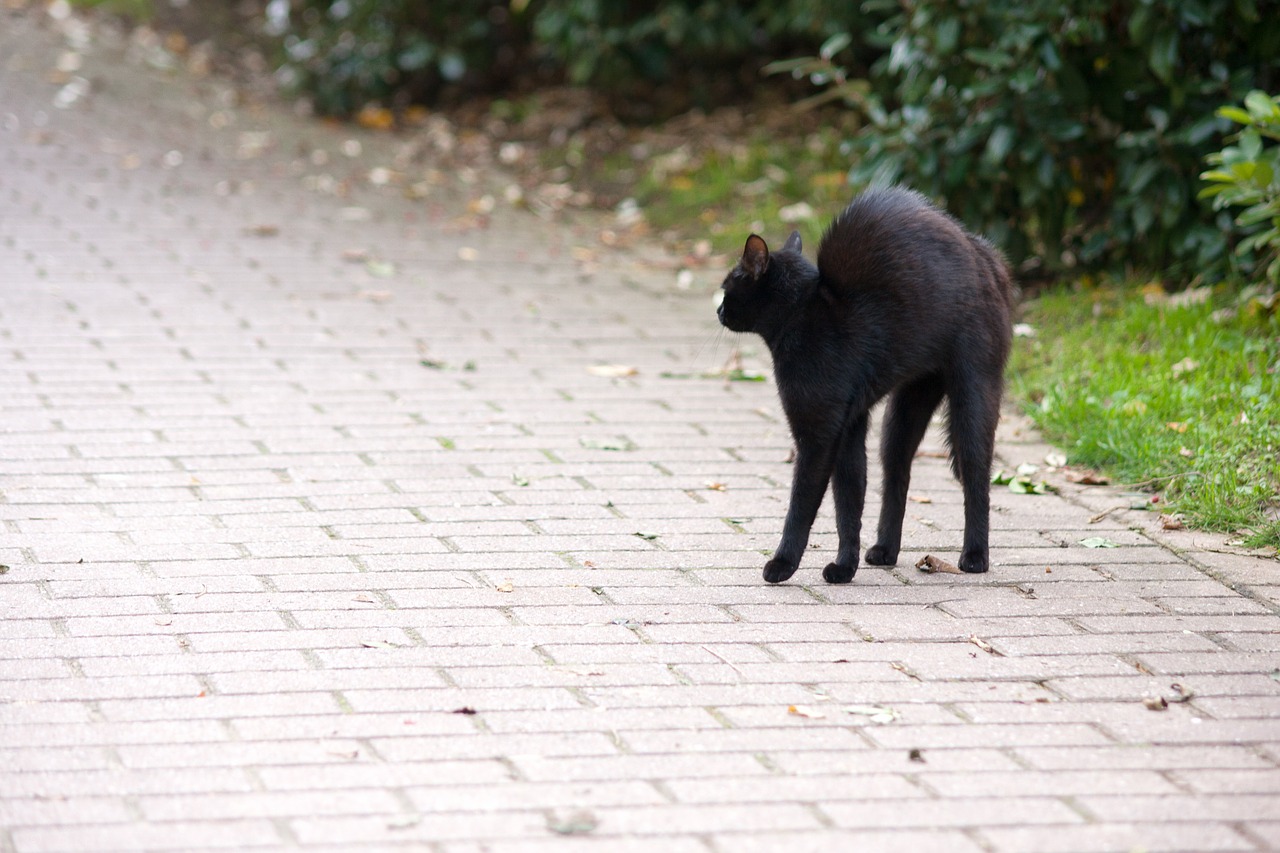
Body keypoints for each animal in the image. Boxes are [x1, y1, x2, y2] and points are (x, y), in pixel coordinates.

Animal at [721, 185, 1008, 581]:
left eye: (727, 287)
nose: (718, 310)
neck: (804, 315)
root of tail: (982, 251)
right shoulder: (849, 426)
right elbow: (849, 500)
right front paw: (845, 567)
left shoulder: (818, 433)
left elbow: (803, 503)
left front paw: (783, 564)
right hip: (904, 410)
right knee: (896, 476)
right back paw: (885, 550)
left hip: (974, 392)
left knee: (977, 473)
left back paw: (976, 556)